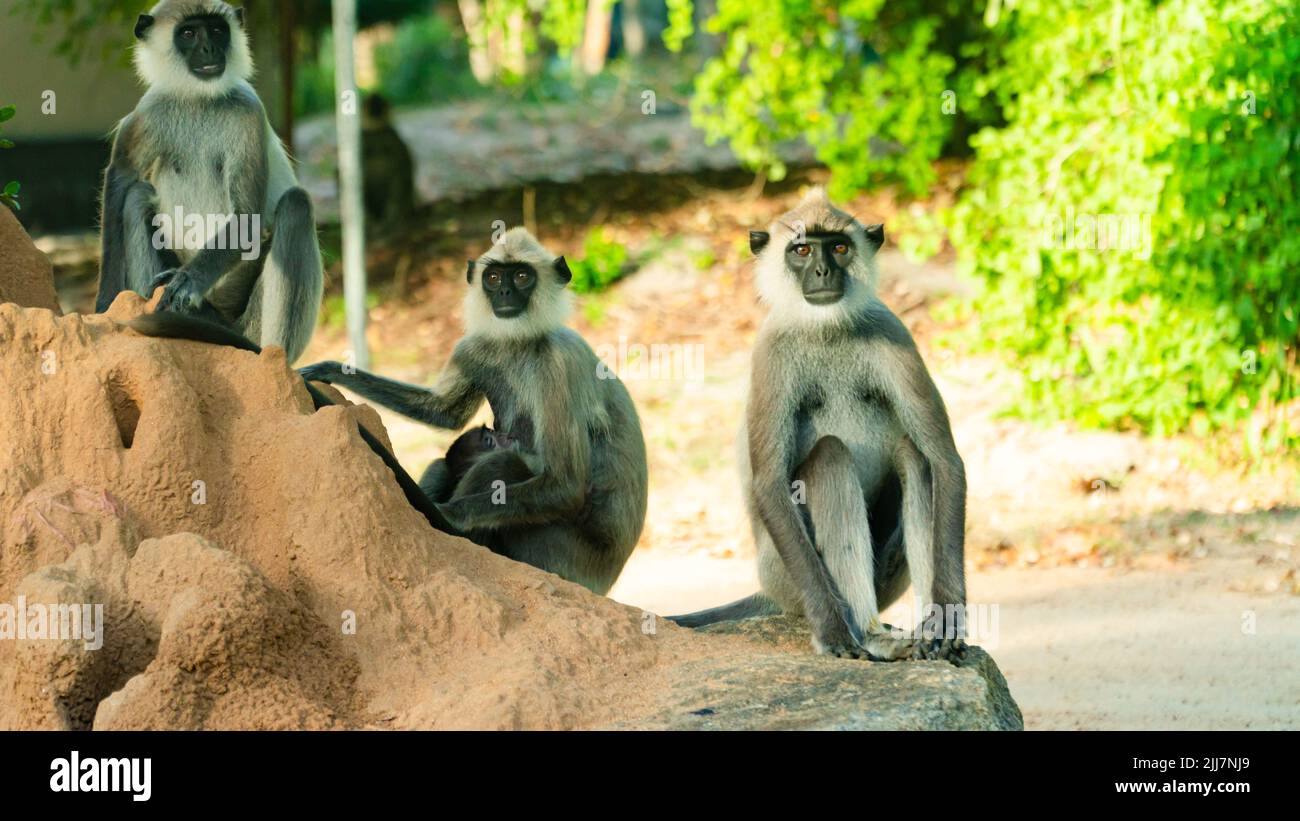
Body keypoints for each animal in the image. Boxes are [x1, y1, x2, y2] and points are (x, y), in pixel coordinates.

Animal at [95, 0, 324, 365]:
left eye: (217, 30)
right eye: (189, 33)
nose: (209, 48)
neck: (198, 99)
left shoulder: (248, 113)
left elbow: (247, 217)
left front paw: (188, 282)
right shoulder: (150, 110)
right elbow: (121, 178)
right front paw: (106, 304)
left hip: (247, 318)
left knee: (295, 205)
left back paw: (269, 356)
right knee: (138, 194)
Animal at [299, 228, 649, 596]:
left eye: (521, 276)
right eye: (493, 278)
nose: (505, 292)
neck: (519, 343)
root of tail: (603, 581)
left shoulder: (559, 360)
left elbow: (565, 484)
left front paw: (447, 516)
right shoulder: (474, 346)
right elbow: (445, 413)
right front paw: (332, 370)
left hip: (562, 556)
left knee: (503, 465)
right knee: (445, 463)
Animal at [670, 189, 968, 663]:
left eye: (839, 247)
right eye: (803, 250)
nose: (824, 270)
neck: (827, 328)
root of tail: (769, 589)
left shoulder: (892, 330)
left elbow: (944, 461)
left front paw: (948, 623)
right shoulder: (770, 352)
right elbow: (770, 483)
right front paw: (832, 632)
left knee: (915, 456)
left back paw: (919, 634)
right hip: (787, 576)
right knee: (830, 454)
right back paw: (869, 635)